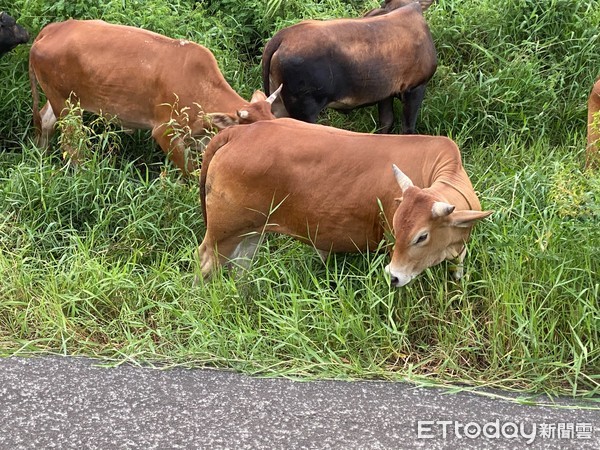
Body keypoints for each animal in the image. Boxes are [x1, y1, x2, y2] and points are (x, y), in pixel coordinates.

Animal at [28, 19, 282, 175]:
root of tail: (53, 28)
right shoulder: (165, 132)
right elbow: (190, 172)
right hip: (66, 105)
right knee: (71, 146)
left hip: (63, 100)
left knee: (46, 122)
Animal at [198, 119, 492, 286]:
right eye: (398, 229)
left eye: (422, 236)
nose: (393, 276)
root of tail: (241, 132)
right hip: (222, 232)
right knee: (205, 260)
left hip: (251, 231)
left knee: (241, 266)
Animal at [262, 0, 436, 134]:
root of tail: (283, 35)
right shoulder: (416, 87)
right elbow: (407, 128)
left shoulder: (386, 93)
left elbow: (386, 122)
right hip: (304, 107)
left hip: (279, 101)